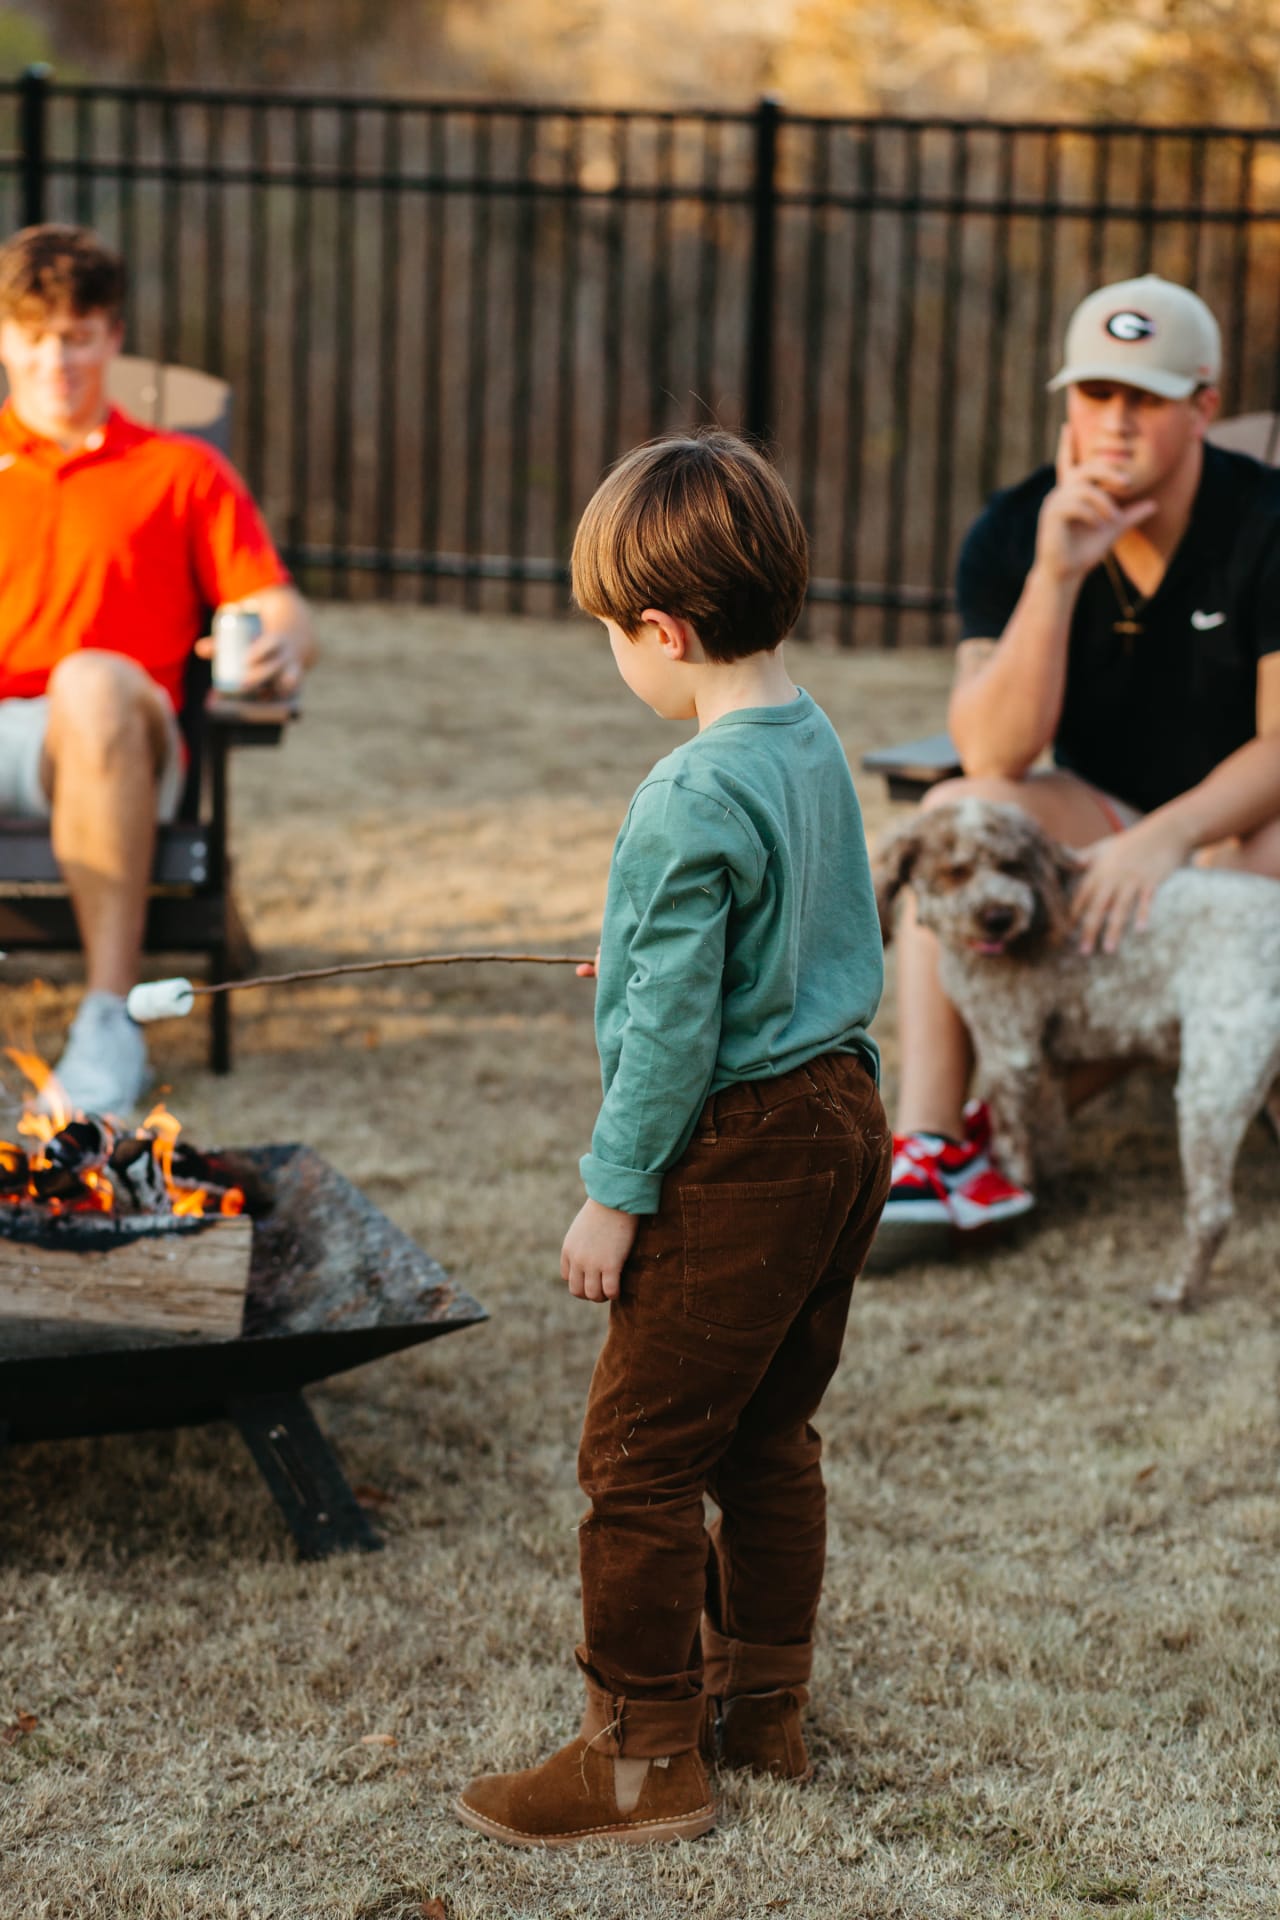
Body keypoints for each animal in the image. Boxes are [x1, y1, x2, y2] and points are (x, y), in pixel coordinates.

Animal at [875, 802, 1280, 1313]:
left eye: (1011, 865)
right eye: (955, 872)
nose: (999, 917)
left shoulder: (1010, 1048)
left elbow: (1012, 1142)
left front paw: (1013, 1198)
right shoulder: (1046, 1063)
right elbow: (1050, 1138)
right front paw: (1052, 1198)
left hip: (1212, 1086)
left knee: (1212, 1214)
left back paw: (1178, 1292)